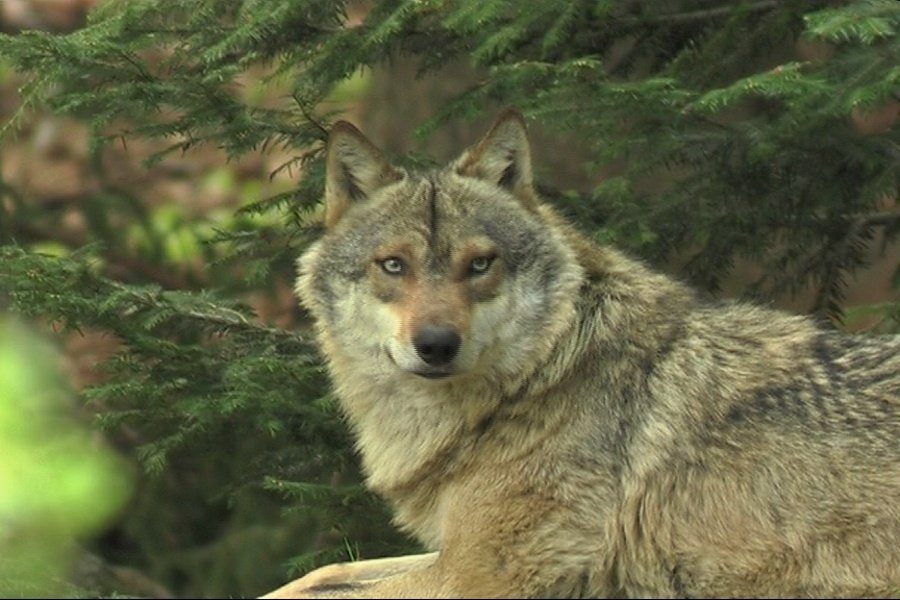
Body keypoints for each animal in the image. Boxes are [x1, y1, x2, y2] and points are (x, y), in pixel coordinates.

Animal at [264, 110, 900, 596]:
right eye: (393, 265)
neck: (535, 382)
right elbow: (321, 574)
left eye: (480, 263)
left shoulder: (474, 574)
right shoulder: (454, 553)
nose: (437, 345)